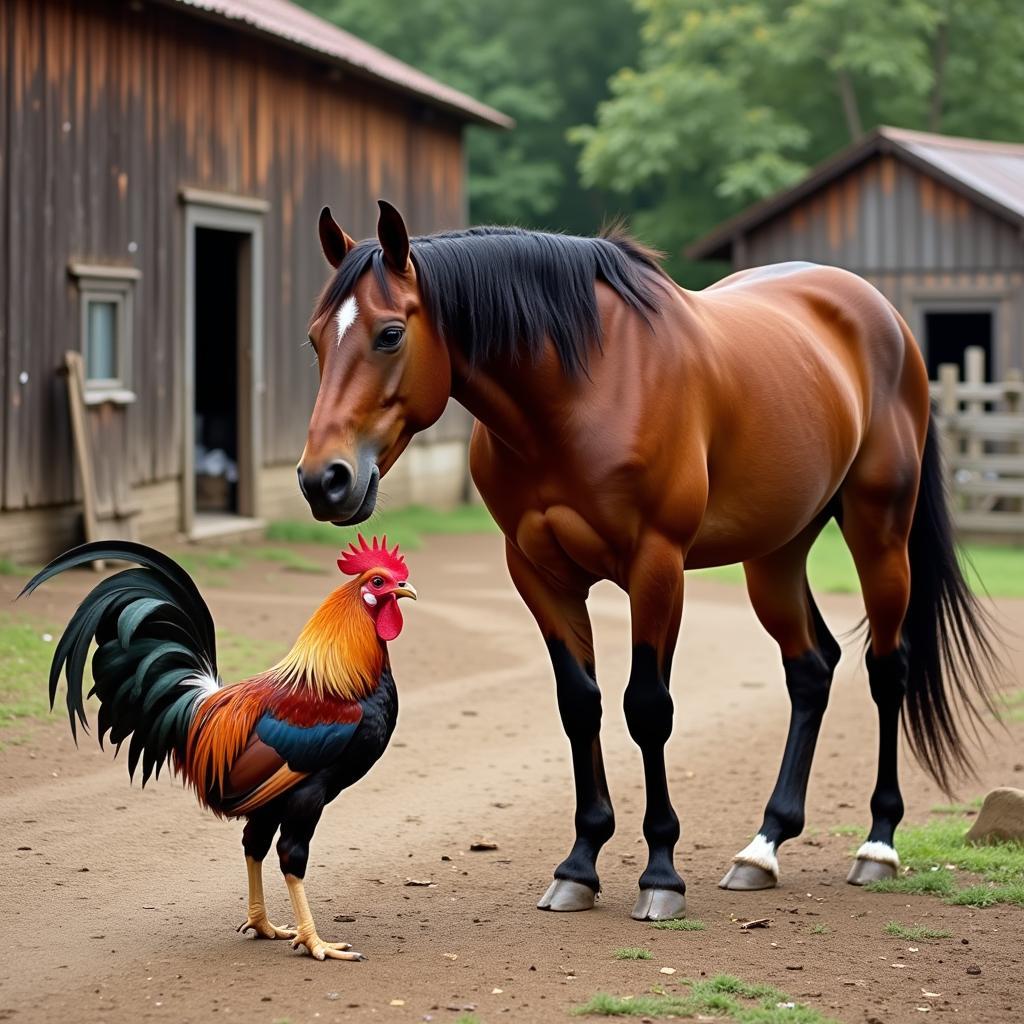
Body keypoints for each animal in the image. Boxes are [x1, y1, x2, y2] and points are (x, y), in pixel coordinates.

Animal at [292, 197, 995, 921]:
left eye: (389, 334)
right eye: (316, 340)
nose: (325, 480)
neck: (582, 389)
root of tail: (881, 315)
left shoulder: (656, 566)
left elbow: (647, 707)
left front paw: (661, 874)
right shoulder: (538, 574)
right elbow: (580, 704)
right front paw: (579, 866)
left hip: (879, 533)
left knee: (887, 670)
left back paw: (877, 844)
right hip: (776, 553)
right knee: (811, 669)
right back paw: (763, 848)